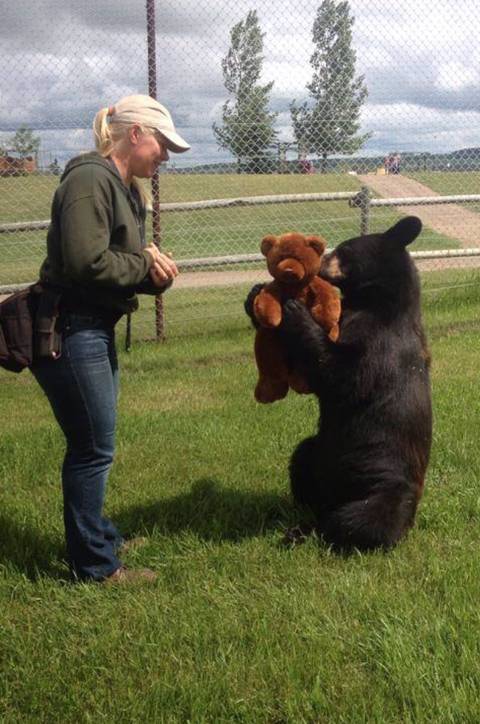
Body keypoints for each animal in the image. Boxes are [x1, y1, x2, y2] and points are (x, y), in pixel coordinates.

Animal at [248, 218, 432, 552]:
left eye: (344, 249)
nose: (319, 259)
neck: (376, 303)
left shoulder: (381, 346)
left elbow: (340, 375)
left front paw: (295, 310)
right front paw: (255, 295)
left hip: (387, 488)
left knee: (364, 520)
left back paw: (309, 531)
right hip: (315, 453)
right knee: (302, 463)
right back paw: (298, 520)